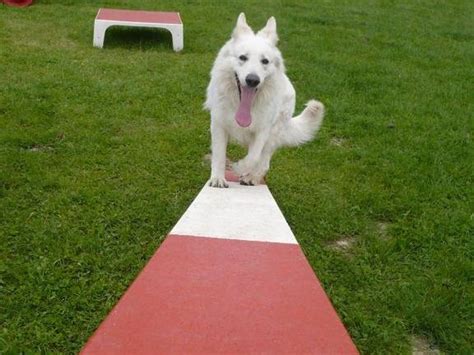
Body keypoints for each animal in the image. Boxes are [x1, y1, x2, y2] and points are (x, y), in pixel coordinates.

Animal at [206, 12, 324, 188]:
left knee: (264, 162)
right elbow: (219, 155)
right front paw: (218, 179)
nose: (252, 80)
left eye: (265, 61)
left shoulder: (263, 131)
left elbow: (253, 157)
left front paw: (239, 168)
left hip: (273, 136)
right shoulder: (219, 125)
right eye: (243, 57)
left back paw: (252, 177)